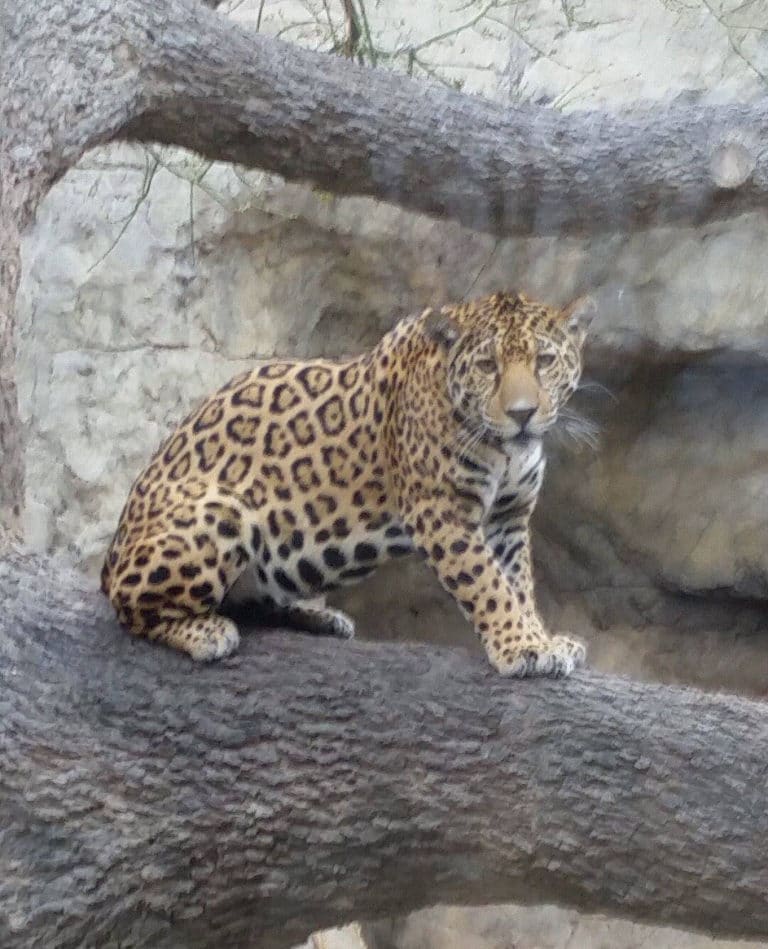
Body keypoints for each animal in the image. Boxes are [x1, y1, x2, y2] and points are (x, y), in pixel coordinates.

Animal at [101, 290, 594, 677]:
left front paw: (541, 637)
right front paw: (521, 647)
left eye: (544, 361)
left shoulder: (508, 517)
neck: (506, 450)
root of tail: (112, 553)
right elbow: (487, 583)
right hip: (219, 512)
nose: (522, 413)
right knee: (129, 606)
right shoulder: (441, 511)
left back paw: (317, 617)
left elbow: (517, 582)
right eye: (488, 366)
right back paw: (205, 631)